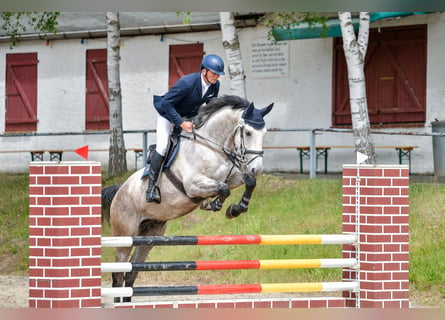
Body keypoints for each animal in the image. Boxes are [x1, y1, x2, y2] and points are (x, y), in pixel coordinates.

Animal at [102, 95, 272, 302]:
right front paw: (215, 204)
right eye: (247, 133)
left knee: (131, 273)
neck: (212, 146)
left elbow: (248, 182)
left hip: (150, 234)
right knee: (118, 273)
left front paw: (235, 209)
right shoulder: (192, 184)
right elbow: (223, 189)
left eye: (264, 133)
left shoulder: (231, 176)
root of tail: (119, 191)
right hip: (125, 235)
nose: (257, 168)